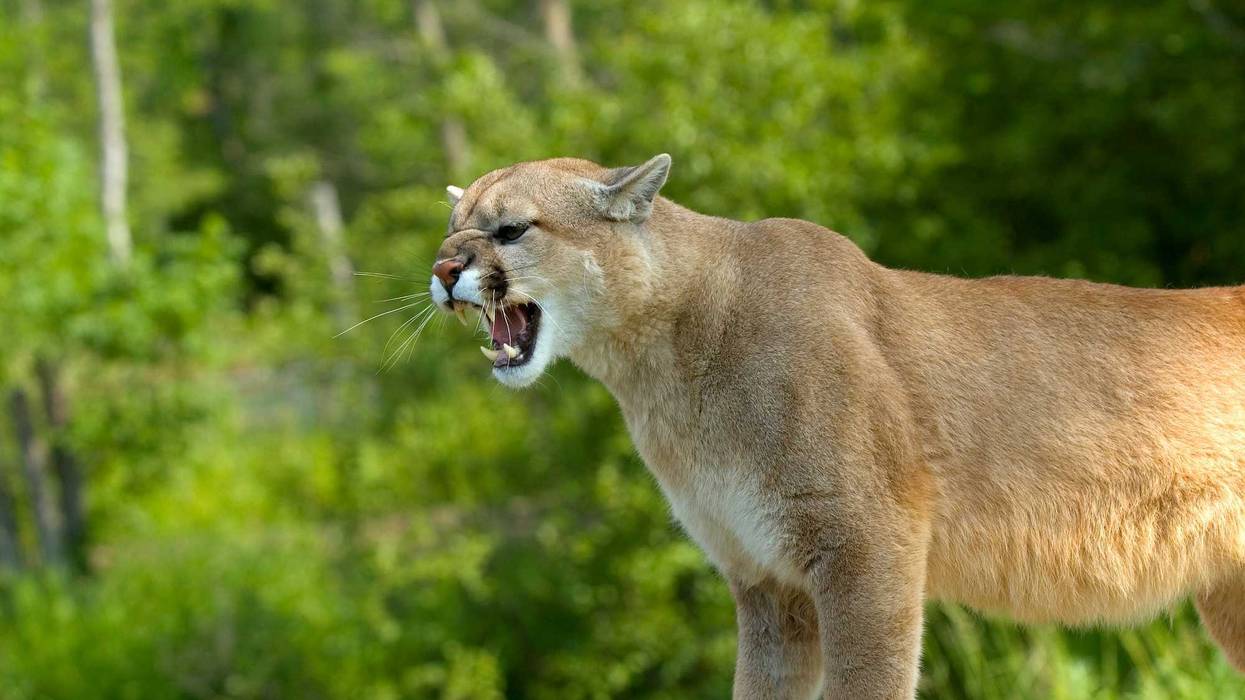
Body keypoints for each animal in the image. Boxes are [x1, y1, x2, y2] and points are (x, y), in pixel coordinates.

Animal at [427, 154, 1245, 699]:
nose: (440, 272)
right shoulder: (764, 580)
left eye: (510, 229)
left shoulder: (866, 543)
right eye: (452, 229)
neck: (661, 364)